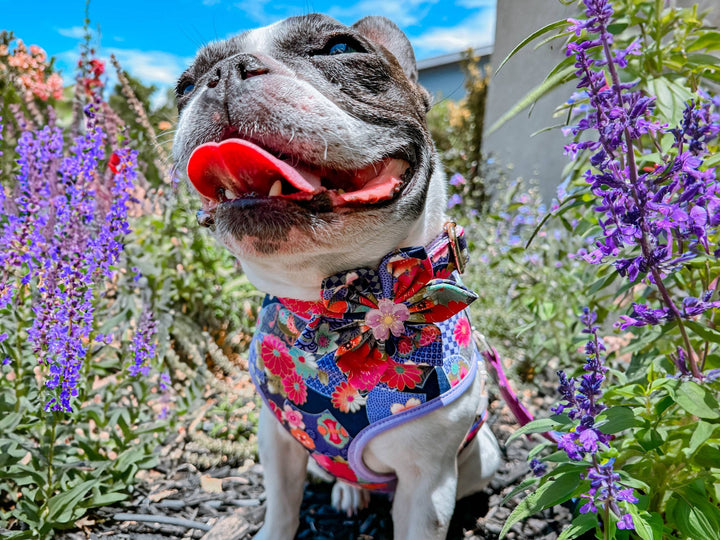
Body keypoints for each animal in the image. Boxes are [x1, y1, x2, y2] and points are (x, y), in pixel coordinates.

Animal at [173, 13, 500, 540]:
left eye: (340, 48)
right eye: (184, 86)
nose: (223, 73)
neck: (334, 298)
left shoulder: (427, 483)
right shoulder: (277, 438)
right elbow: (282, 505)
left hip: (484, 455)